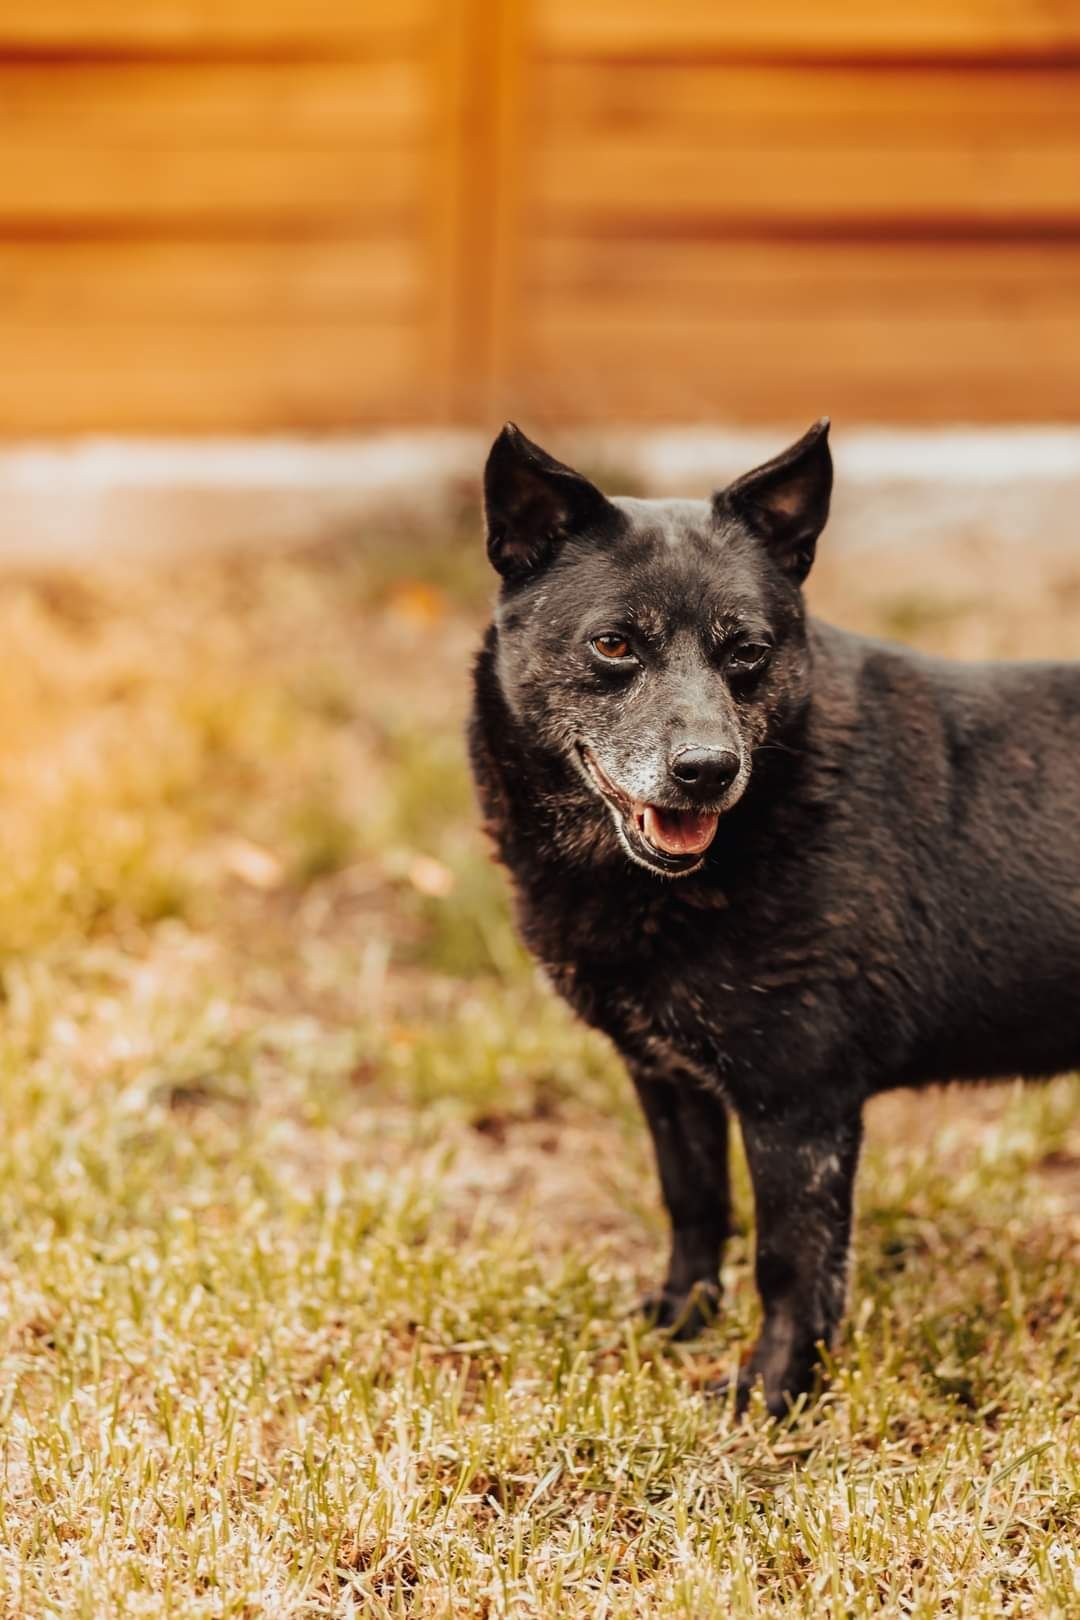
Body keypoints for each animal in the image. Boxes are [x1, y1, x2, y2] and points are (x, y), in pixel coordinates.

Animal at [469, 421, 1075, 1419]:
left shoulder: (800, 1103)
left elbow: (792, 1263)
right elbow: (695, 1206)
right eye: (613, 644)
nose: (706, 770)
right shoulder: (667, 1079)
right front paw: (679, 1319)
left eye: (746, 650)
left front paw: (773, 1391)